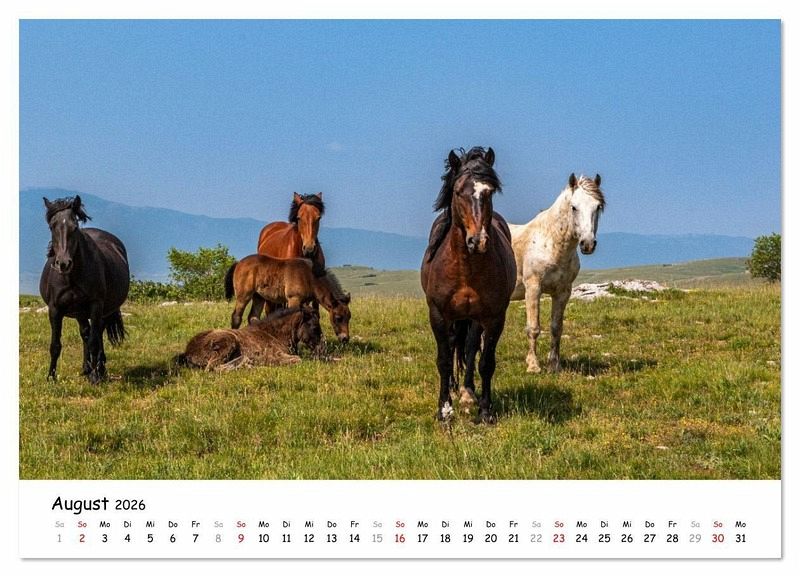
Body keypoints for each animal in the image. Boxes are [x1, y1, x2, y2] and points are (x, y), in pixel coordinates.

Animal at [38, 196, 130, 383]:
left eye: (74, 227)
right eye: (52, 226)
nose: (63, 263)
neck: (71, 277)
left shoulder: (96, 305)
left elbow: (94, 342)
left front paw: (95, 377)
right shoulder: (55, 309)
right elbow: (55, 345)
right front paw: (51, 377)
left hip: (103, 309)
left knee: (97, 333)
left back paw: (99, 369)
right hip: (80, 312)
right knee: (86, 333)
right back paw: (87, 368)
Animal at [177, 306, 323, 371]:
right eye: (314, 326)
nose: (321, 348)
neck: (274, 334)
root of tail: (188, 352)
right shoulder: (275, 355)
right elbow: (297, 359)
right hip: (228, 341)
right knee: (213, 368)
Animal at [421, 147, 517, 424]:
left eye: (490, 191)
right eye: (457, 191)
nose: (478, 241)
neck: (465, 269)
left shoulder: (494, 317)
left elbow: (486, 362)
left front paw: (485, 410)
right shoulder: (438, 315)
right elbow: (443, 359)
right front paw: (444, 410)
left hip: (474, 318)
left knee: (471, 347)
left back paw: (468, 391)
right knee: (455, 343)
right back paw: (455, 387)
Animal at [509, 173, 605, 373]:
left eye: (598, 207)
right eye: (574, 207)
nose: (588, 244)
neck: (551, 243)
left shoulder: (563, 292)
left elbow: (556, 328)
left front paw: (554, 365)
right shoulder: (533, 289)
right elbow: (533, 328)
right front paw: (533, 365)